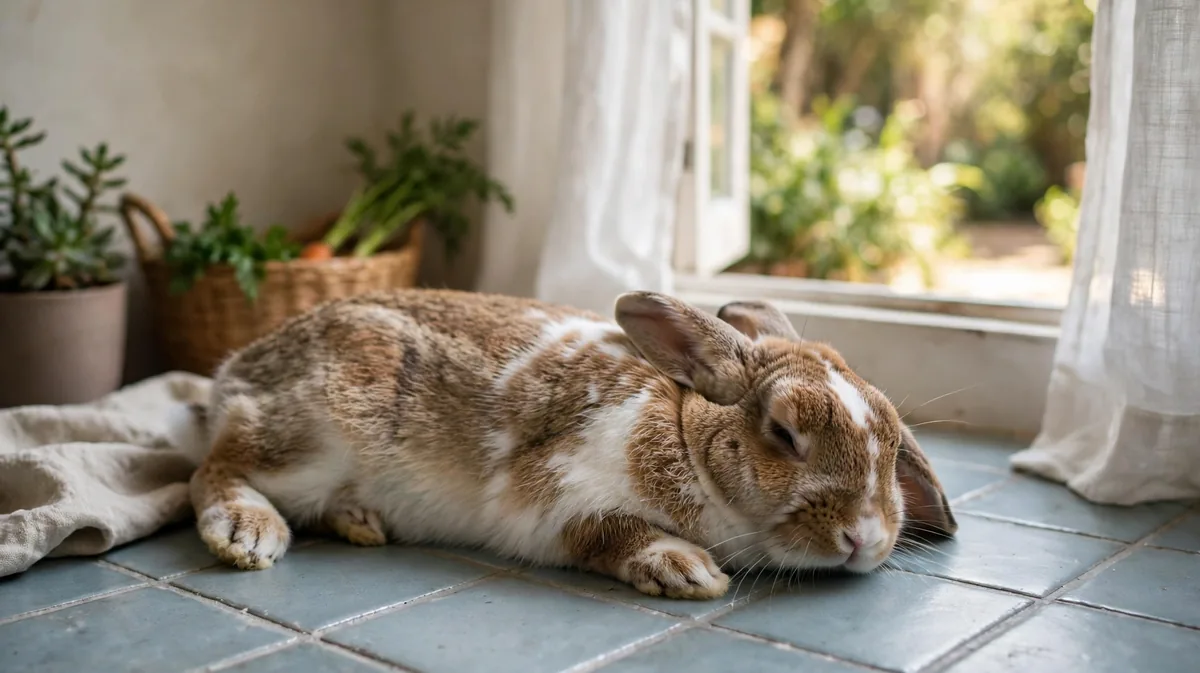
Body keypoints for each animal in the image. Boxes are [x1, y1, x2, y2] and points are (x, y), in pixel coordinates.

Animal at [190, 289, 956, 599]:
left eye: (893, 446)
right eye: (784, 433)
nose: (864, 538)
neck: (686, 430)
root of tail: (236, 370)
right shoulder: (557, 498)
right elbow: (610, 533)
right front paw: (687, 571)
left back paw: (361, 522)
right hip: (316, 435)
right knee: (211, 471)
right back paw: (248, 532)